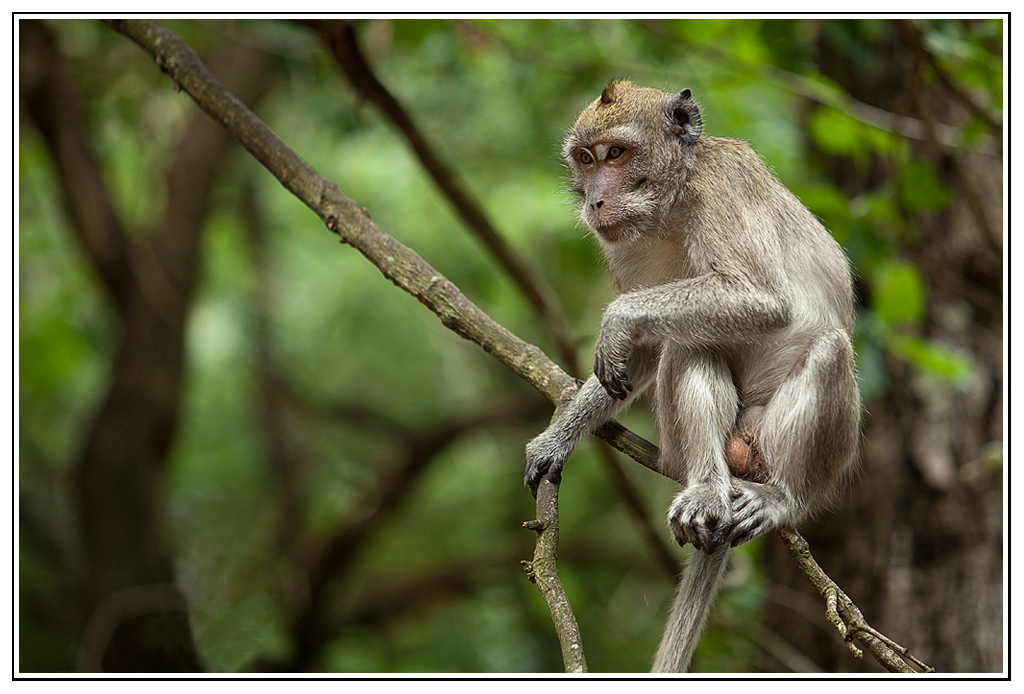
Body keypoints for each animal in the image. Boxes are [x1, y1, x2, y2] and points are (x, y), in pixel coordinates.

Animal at [524, 81, 860, 675]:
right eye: (585, 159)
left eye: (616, 154)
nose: (594, 201)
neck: (671, 204)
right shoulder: (624, 245)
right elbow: (639, 354)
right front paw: (557, 439)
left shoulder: (721, 186)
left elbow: (760, 301)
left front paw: (615, 322)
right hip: (685, 449)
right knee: (690, 343)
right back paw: (707, 489)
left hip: (791, 449)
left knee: (828, 348)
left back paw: (781, 497)